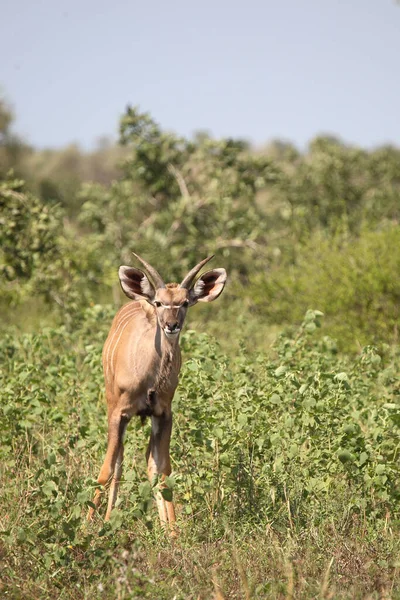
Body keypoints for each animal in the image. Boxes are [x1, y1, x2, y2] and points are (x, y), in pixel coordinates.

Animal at [88, 253, 227, 528]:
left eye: (185, 302)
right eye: (159, 302)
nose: (171, 325)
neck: (151, 379)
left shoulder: (163, 414)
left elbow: (161, 470)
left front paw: (172, 531)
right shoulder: (118, 413)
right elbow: (107, 468)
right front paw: (85, 528)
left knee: (145, 463)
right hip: (113, 406)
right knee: (117, 462)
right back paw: (107, 520)